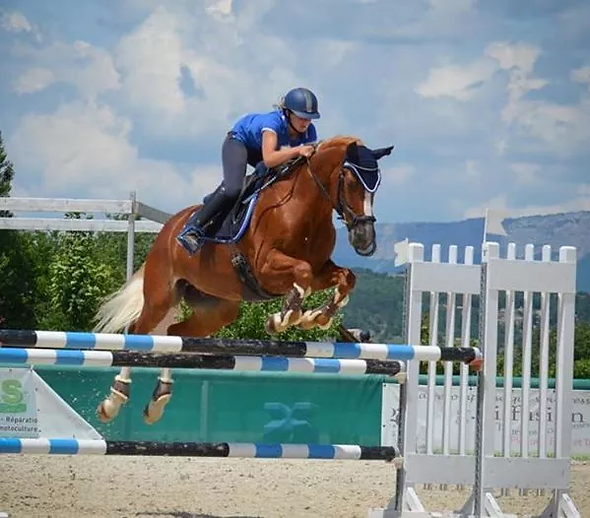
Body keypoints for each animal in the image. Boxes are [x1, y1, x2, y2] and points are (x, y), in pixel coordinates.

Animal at [93, 136, 394, 424]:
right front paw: (285, 318)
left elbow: (345, 277)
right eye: (351, 181)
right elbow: (303, 271)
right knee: (138, 331)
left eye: (376, 187)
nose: (365, 240)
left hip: (217, 309)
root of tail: (168, 228)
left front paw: (317, 316)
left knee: (173, 333)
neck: (304, 208)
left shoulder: (322, 270)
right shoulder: (265, 268)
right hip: (161, 297)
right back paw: (114, 400)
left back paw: (158, 401)